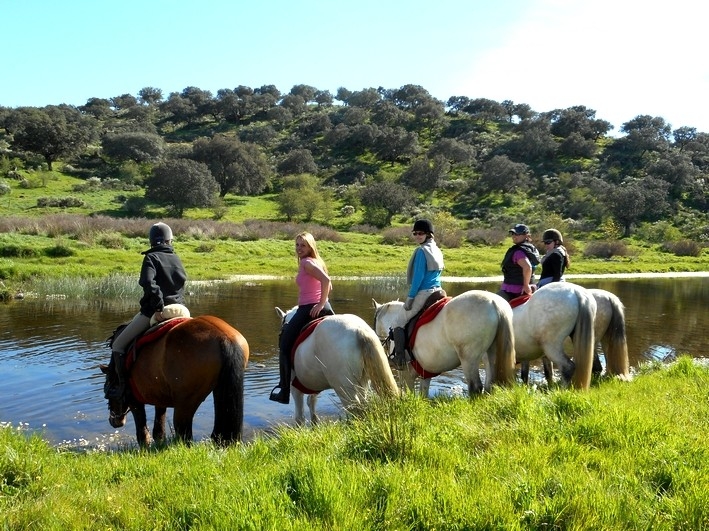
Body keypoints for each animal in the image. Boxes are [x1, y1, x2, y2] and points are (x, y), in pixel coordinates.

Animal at [99, 316, 249, 448]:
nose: (114, 421)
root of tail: (224, 337)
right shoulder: (159, 397)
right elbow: (159, 430)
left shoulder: (134, 401)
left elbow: (143, 433)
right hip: (219, 391)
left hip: (185, 405)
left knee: (184, 434)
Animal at [370, 290, 516, 400]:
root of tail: (494, 303)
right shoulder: (425, 374)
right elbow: (423, 395)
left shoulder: (406, 375)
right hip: (490, 355)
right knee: (489, 384)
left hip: (469, 359)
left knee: (475, 387)